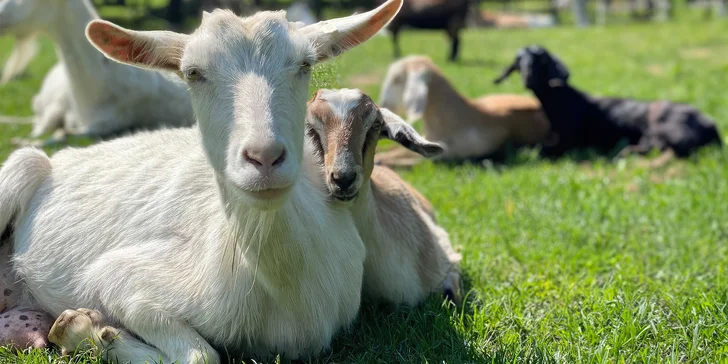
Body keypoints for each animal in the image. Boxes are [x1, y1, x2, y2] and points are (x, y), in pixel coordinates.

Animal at [492, 44, 720, 159]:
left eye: (541, 59)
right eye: (518, 61)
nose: (528, 77)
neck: (563, 101)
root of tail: (711, 124)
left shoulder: (567, 142)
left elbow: (537, 149)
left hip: (663, 126)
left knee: (674, 147)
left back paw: (625, 152)